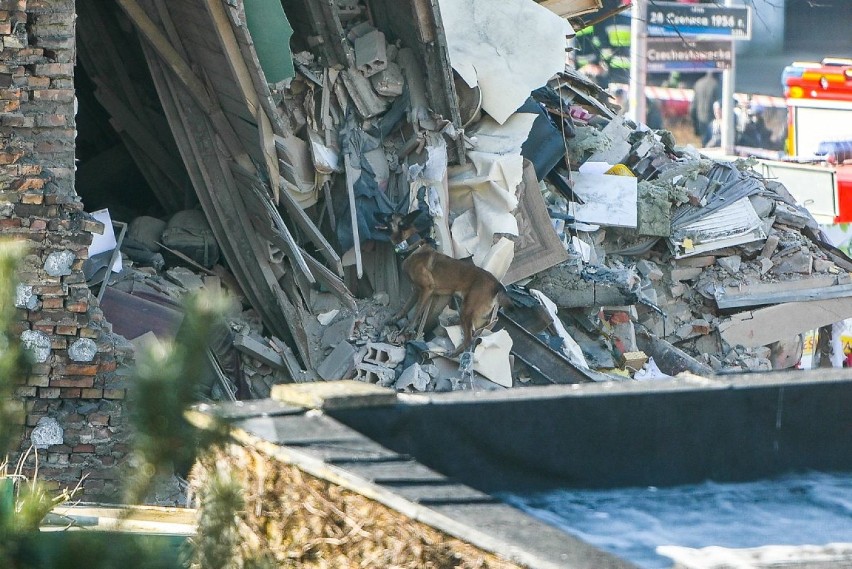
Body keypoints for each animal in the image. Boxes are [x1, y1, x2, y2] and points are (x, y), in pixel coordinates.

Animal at [378, 210, 510, 356]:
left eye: (389, 217)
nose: (375, 213)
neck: (412, 247)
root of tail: (496, 284)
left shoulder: (426, 289)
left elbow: (417, 311)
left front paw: (410, 328)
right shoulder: (416, 291)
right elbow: (405, 307)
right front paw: (394, 319)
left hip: (468, 308)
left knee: (469, 338)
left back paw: (453, 354)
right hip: (471, 310)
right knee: (476, 328)